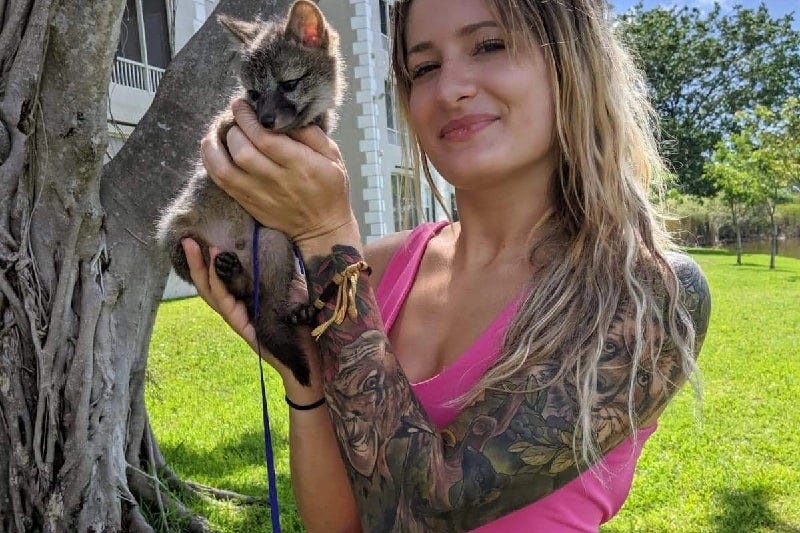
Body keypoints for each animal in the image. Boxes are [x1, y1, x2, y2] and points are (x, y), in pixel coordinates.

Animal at [156, 0, 344, 386]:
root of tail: (239, 249)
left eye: (289, 84)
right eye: (255, 94)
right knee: (244, 295)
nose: (267, 120)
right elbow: (229, 123)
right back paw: (229, 273)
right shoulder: (226, 128)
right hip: (175, 234)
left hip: (273, 241)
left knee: (264, 304)